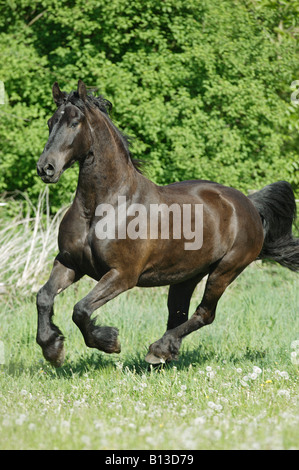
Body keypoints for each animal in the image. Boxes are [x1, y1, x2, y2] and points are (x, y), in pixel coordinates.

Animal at [35, 81, 299, 368]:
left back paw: (158, 350)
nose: (46, 168)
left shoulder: (122, 275)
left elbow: (81, 309)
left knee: (204, 314)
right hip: (187, 276)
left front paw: (109, 341)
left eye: (75, 122)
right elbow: (44, 297)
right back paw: (165, 353)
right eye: (50, 122)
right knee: (178, 315)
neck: (101, 209)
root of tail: (248, 204)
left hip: (225, 270)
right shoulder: (70, 262)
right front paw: (52, 348)